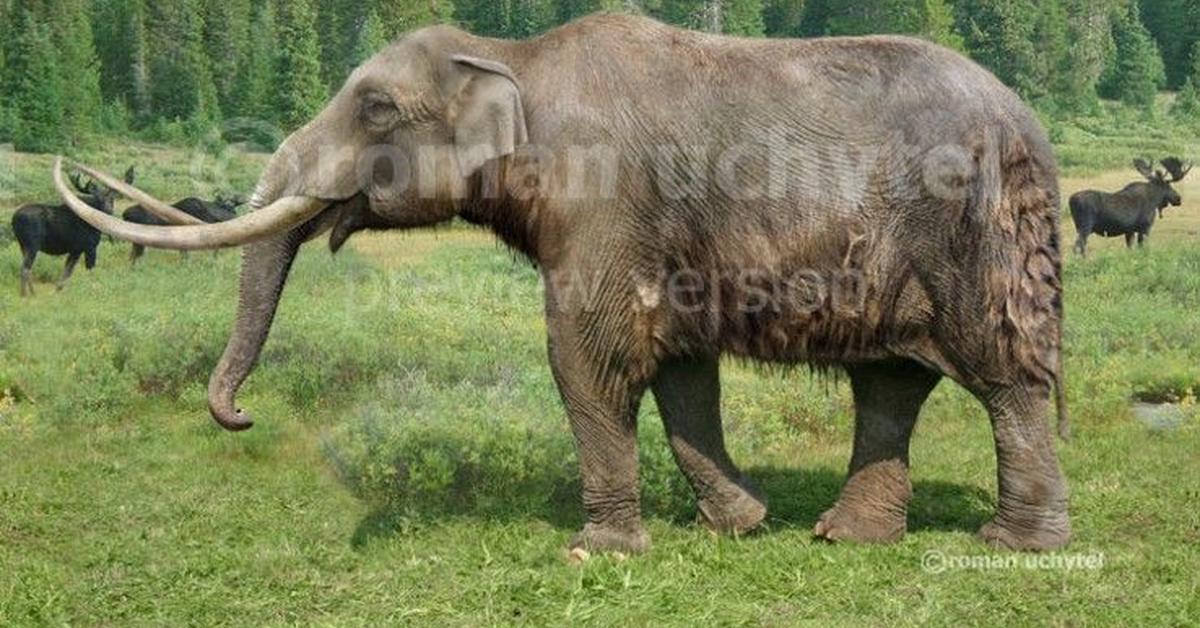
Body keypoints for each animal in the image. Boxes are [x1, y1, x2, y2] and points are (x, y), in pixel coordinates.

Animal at [11, 165, 135, 296]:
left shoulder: (76, 250)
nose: (109, 210)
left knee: (27, 268)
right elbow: (89, 271)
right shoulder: (89, 247)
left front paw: (59, 291)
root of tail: (13, 219)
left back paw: (33, 293)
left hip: (23, 245)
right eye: (99, 200)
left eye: (112, 199)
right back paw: (25, 295)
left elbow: (67, 272)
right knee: (25, 268)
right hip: (32, 244)